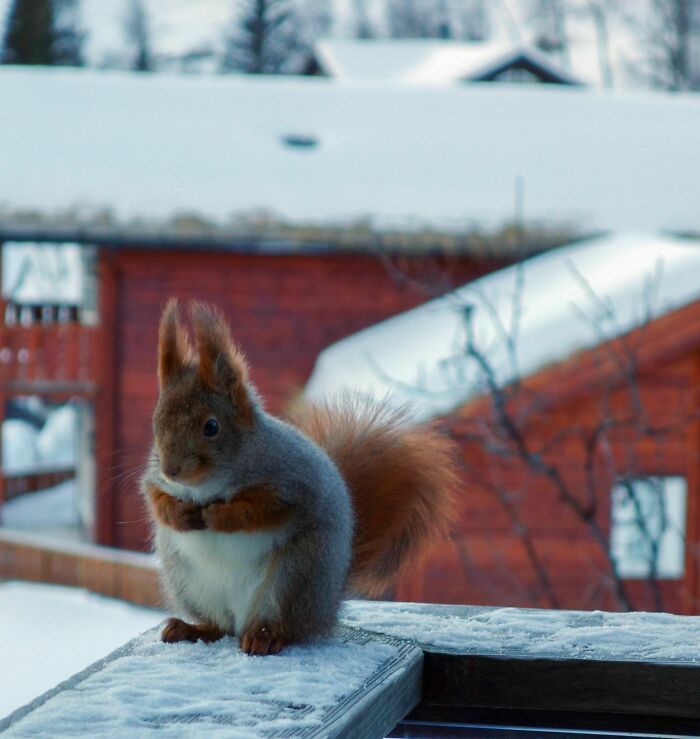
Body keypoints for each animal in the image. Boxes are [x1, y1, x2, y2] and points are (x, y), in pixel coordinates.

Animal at [142, 298, 460, 656]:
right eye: (157, 421)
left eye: (211, 427)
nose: (171, 469)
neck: (208, 485)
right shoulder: (153, 478)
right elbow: (153, 494)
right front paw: (176, 513)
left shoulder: (295, 480)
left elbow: (266, 508)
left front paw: (222, 515)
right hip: (190, 582)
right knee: (219, 626)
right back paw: (190, 628)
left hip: (296, 575)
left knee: (286, 627)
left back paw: (266, 636)